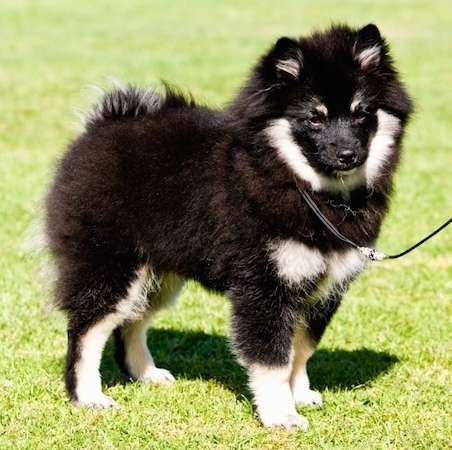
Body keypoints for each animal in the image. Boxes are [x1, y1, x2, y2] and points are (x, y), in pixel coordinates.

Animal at [44, 23, 412, 428]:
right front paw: (281, 414)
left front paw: (300, 394)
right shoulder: (264, 286)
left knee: (131, 322)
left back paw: (146, 374)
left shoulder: (323, 287)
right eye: (315, 118)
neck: (308, 189)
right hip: (111, 264)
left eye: (362, 114)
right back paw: (88, 396)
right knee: (86, 330)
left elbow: (300, 349)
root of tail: (101, 125)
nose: (348, 154)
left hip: (158, 272)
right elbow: (273, 361)